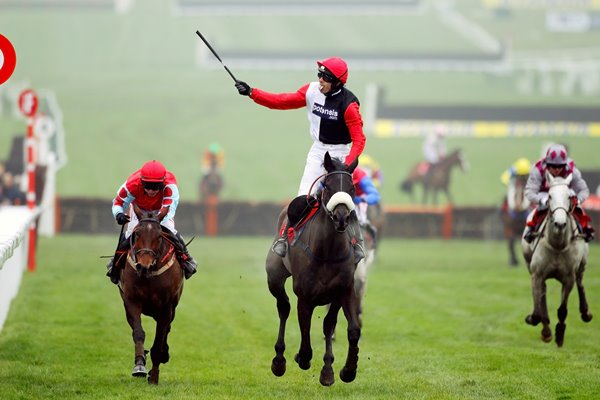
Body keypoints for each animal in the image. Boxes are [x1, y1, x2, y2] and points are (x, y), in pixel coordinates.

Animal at [116, 205, 183, 382]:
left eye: (159, 236)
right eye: (137, 233)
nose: (143, 266)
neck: (149, 275)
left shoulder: (167, 308)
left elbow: (159, 339)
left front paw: (154, 376)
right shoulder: (131, 301)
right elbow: (138, 333)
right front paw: (139, 365)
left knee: (167, 329)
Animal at [266, 152, 360, 386]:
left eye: (352, 188)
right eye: (328, 186)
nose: (342, 218)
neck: (327, 252)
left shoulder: (343, 290)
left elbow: (345, 328)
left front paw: (343, 370)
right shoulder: (305, 295)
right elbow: (305, 333)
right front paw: (302, 357)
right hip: (274, 276)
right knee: (283, 306)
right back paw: (279, 360)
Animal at [520, 173, 592, 346]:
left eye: (569, 197)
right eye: (550, 196)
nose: (560, 223)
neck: (558, 245)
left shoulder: (568, 278)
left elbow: (562, 310)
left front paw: (559, 335)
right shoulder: (537, 275)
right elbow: (538, 310)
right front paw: (539, 325)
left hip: (582, 264)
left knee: (580, 282)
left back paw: (586, 312)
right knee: (543, 294)